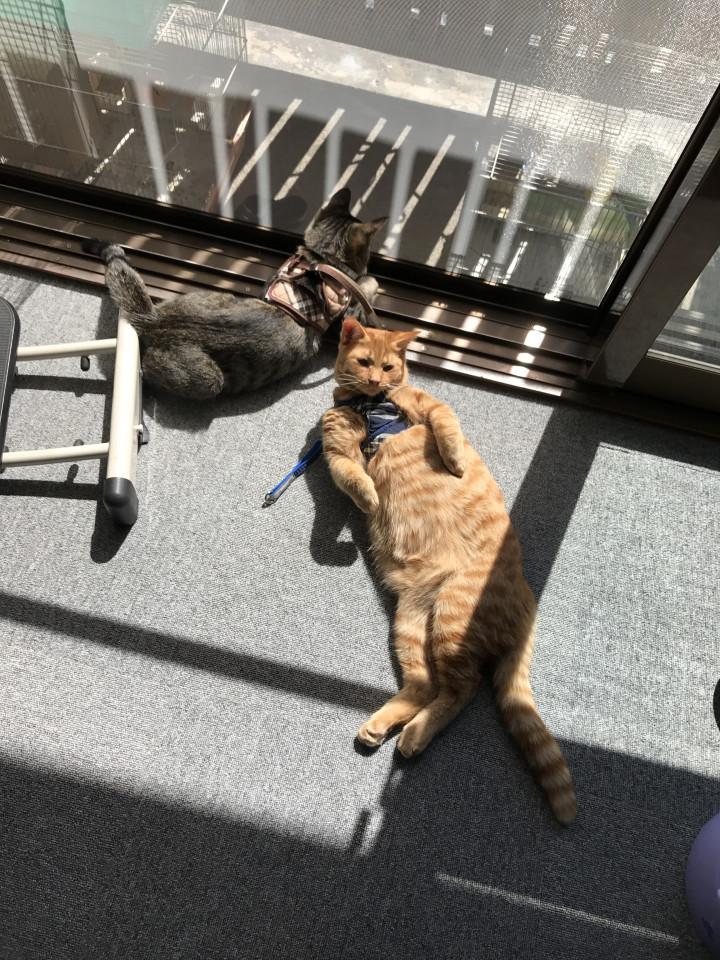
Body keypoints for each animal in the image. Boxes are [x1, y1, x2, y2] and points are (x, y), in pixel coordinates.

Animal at [82, 188, 386, 400]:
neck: (320, 259)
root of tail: (156, 319)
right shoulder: (349, 311)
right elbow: (368, 283)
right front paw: (370, 283)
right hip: (209, 381)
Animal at [322, 318, 577, 824]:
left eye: (389, 366)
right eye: (364, 362)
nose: (377, 381)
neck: (368, 405)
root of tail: (528, 601)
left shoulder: (427, 406)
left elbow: (444, 425)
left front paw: (454, 461)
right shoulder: (336, 450)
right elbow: (352, 476)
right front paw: (369, 499)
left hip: (452, 620)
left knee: (463, 689)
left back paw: (414, 735)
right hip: (413, 622)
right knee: (427, 685)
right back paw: (384, 725)